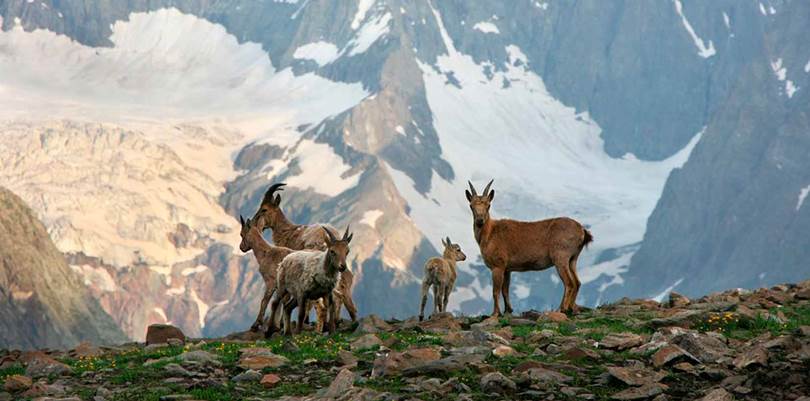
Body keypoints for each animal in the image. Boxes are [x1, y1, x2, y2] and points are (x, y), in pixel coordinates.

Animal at [464, 180, 592, 316]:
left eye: (488, 205)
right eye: (471, 206)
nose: (480, 220)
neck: (490, 234)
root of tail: (582, 231)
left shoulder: (498, 265)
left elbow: (495, 291)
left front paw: (495, 313)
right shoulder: (507, 268)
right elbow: (505, 290)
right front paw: (508, 310)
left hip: (561, 255)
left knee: (569, 282)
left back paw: (562, 309)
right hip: (573, 258)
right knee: (577, 282)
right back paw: (572, 308)